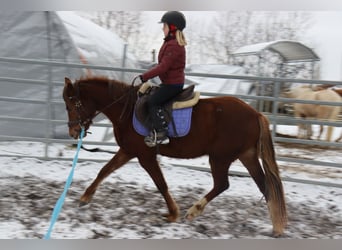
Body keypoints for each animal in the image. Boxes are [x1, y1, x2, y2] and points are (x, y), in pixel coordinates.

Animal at [62, 76, 288, 236]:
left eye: (70, 105)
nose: (73, 132)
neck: (126, 109)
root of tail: (255, 113)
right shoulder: (128, 151)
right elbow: (104, 170)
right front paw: (85, 197)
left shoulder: (145, 156)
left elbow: (161, 184)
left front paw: (173, 213)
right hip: (246, 156)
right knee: (265, 186)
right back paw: (276, 227)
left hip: (219, 158)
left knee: (222, 184)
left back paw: (194, 210)